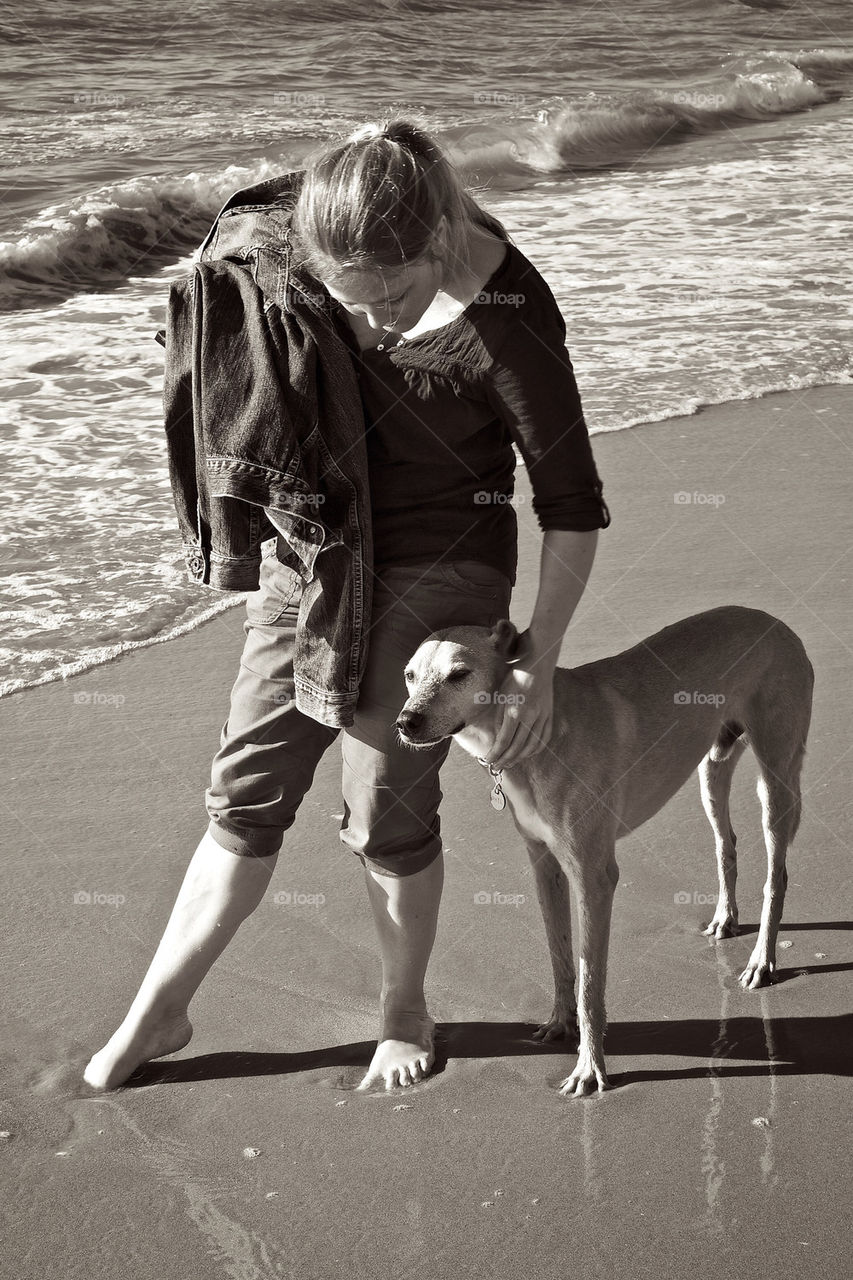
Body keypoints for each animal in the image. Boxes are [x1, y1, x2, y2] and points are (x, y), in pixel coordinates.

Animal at [394, 604, 814, 1095]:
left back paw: (762, 959)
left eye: (459, 674)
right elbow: (561, 957)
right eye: (408, 675)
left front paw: (589, 1067)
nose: (405, 723)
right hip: (712, 769)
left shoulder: (594, 877)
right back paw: (725, 917)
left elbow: (590, 982)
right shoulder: (545, 865)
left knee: (776, 873)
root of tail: (773, 620)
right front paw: (560, 1023)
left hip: (776, 779)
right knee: (726, 844)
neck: (535, 731)